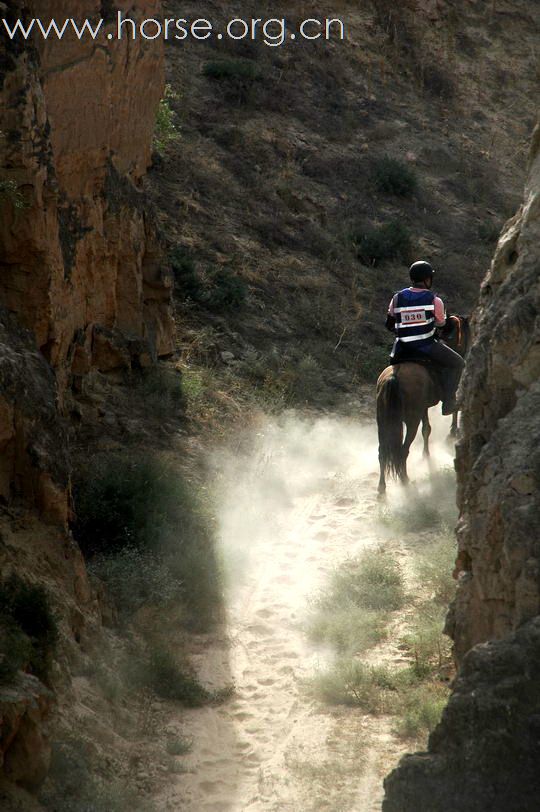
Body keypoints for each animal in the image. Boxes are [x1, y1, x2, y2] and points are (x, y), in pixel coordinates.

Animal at [376, 316, 472, 494]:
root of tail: (394, 376)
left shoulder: (424, 408)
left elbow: (426, 429)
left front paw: (426, 454)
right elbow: (453, 408)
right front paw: (453, 432)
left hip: (383, 423)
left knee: (382, 452)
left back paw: (382, 488)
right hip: (410, 421)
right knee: (403, 451)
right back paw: (405, 481)